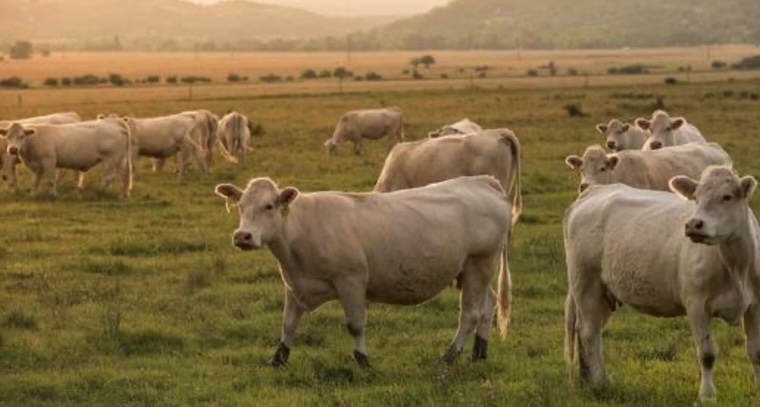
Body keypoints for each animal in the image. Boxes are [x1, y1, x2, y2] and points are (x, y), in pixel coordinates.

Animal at [0, 118, 132, 197]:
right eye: (7, 136)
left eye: (21, 136)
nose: (13, 149)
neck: (33, 140)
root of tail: (115, 121)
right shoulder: (38, 166)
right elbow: (36, 181)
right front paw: (33, 194)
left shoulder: (49, 161)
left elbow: (51, 180)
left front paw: (53, 195)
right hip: (120, 160)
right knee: (124, 176)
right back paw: (123, 195)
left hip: (110, 159)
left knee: (108, 178)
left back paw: (100, 193)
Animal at [214, 175, 512, 367]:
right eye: (240, 207)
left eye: (268, 206)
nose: (243, 236)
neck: (301, 229)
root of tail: (483, 182)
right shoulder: (295, 284)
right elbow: (288, 323)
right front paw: (278, 358)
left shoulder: (351, 281)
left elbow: (355, 325)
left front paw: (362, 360)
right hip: (473, 270)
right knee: (488, 305)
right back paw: (479, 352)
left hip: (479, 263)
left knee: (470, 313)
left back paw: (449, 357)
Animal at [563, 166, 760, 401]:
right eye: (696, 197)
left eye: (727, 197)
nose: (694, 224)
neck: (736, 266)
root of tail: (594, 191)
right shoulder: (696, 305)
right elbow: (707, 353)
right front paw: (707, 395)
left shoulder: (756, 306)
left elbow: (755, 351)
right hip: (586, 282)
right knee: (589, 332)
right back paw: (600, 383)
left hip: (604, 293)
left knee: (589, 331)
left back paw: (589, 380)